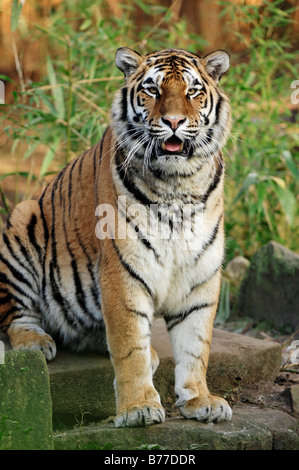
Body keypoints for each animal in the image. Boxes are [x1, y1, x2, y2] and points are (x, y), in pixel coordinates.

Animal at [0, 46, 233, 426]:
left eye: (192, 92)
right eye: (152, 90)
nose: (173, 122)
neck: (179, 184)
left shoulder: (200, 275)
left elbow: (196, 344)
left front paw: (200, 399)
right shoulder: (123, 273)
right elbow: (128, 346)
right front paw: (138, 408)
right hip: (22, 216)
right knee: (16, 314)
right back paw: (35, 342)